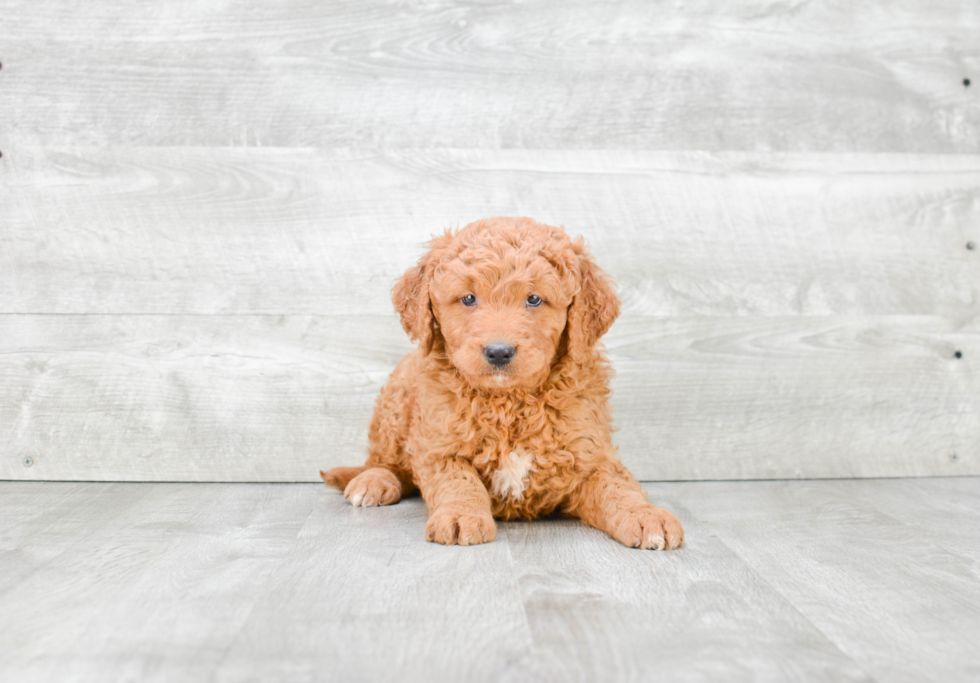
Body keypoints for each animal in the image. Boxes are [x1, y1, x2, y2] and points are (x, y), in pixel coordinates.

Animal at [322, 218, 680, 552]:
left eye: (534, 300)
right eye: (468, 298)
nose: (498, 351)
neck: (509, 400)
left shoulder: (589, 453)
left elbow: (617, 486)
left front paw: (645, 514)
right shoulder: (438, 447)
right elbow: (459, 480)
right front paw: (461, 515)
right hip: (396, 401)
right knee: (386, 461)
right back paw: (373, 481)